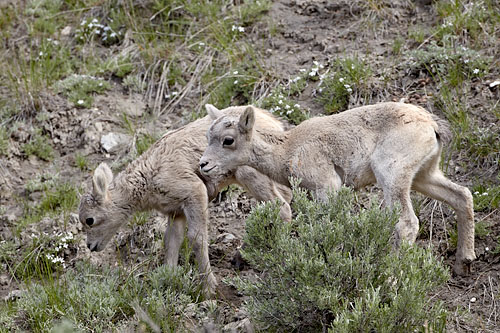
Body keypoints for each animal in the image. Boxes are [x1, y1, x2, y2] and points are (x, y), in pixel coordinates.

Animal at [76, 104, 292, 296]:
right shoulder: (175, 212)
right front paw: (169, 279)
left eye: (89, 220)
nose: (90, 246)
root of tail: (276, 125)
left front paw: (208, 289)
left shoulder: (195, 193)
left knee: (283, 208)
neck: (148, 179)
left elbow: (196, 239)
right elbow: (172, 242)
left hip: (249, 175)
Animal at [200, 101, 476, 274]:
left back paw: (391, 276)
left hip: (392, 175)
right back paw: (463, 263)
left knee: (407, 223)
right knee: (462, 196)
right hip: (424, 176)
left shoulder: (327, 187)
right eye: (208, 137)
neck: (287, 149)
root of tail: (431, 124)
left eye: (228, 140)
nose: (203, 165)